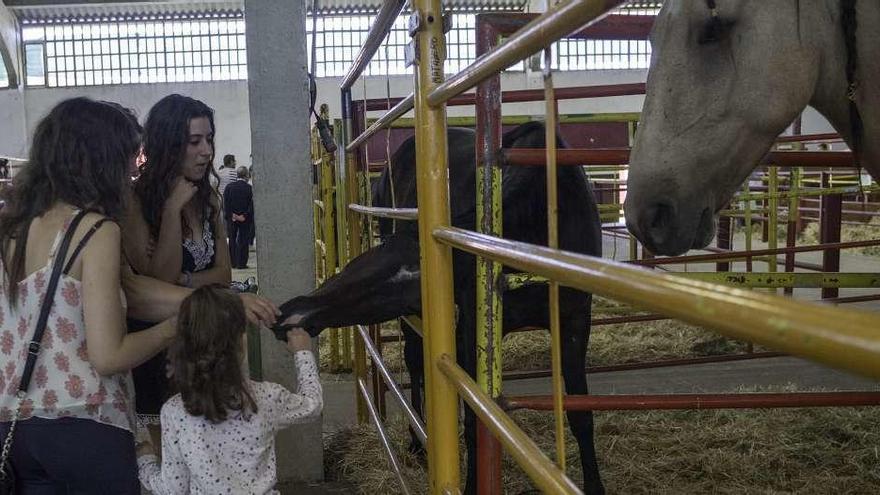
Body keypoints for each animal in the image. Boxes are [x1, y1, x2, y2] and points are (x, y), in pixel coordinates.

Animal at [276, 122, 604, 494]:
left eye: (393, 282)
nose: (293, 310)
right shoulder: (473, 329)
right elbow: (475, 416)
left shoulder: (575, 322)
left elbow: (581, 413)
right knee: (416, 362)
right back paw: (418, 441)